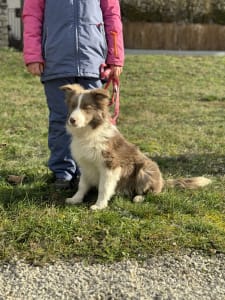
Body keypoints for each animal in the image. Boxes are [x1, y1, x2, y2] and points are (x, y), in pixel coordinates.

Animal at [60, 84, 212, 211]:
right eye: (73, 106)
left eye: (87, 107)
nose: (72, 120)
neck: (88, 133)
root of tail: (162, 181)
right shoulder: (86, 165)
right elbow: (82, 185)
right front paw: (75, 199)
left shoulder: (110, 165)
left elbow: (104, 187)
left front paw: (99, 206)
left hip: (145, 169)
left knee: (153, 192)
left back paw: (139, 197)